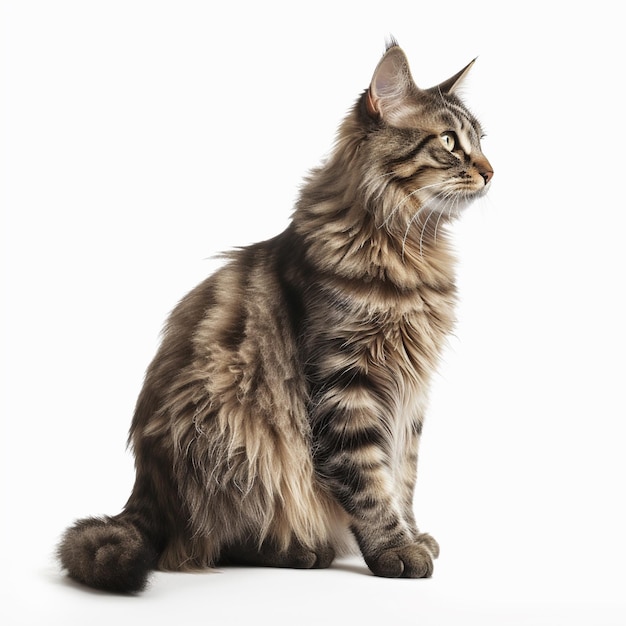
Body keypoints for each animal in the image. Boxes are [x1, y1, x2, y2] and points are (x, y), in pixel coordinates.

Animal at [56, 40, 490, 588]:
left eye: (482, 142)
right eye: (450, 142)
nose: (491, 171)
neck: (406, 247)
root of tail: (145, 491)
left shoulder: (410, 397)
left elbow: (402, 476)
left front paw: (412, 533)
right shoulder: (346, 385)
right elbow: (369, 479)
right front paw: (395, 548)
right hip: (234, 439)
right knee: (213, 542)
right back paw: (300, 550)